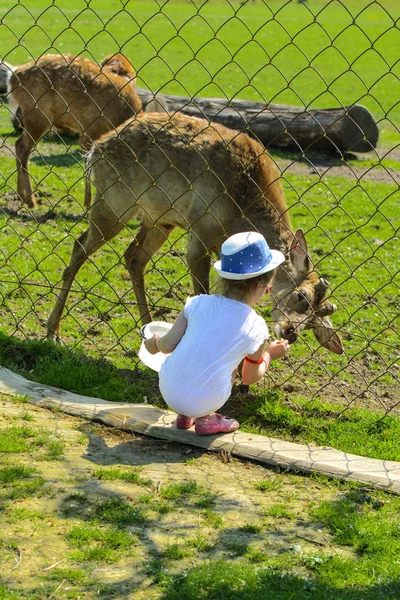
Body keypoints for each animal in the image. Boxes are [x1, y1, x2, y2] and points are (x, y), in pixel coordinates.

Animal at [6, 52, 142, 211]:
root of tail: (13, 78)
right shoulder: (89, 131)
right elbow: (89, 165)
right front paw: (88, 203)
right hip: (38, 114)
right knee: (23, 148)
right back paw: (31, 200)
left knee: (18, 144)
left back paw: (22, 196)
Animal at [46, 112, 340, 354]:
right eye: (301, 295)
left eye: (314, 323)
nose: (290, 333)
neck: (240, 211)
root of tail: (95, 149)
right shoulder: (199, 229)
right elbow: (204, 294)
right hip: (113, 203)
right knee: (79, 246)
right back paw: (53, 333)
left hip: (159, 219)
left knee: (133, 257)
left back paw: (148, 333)